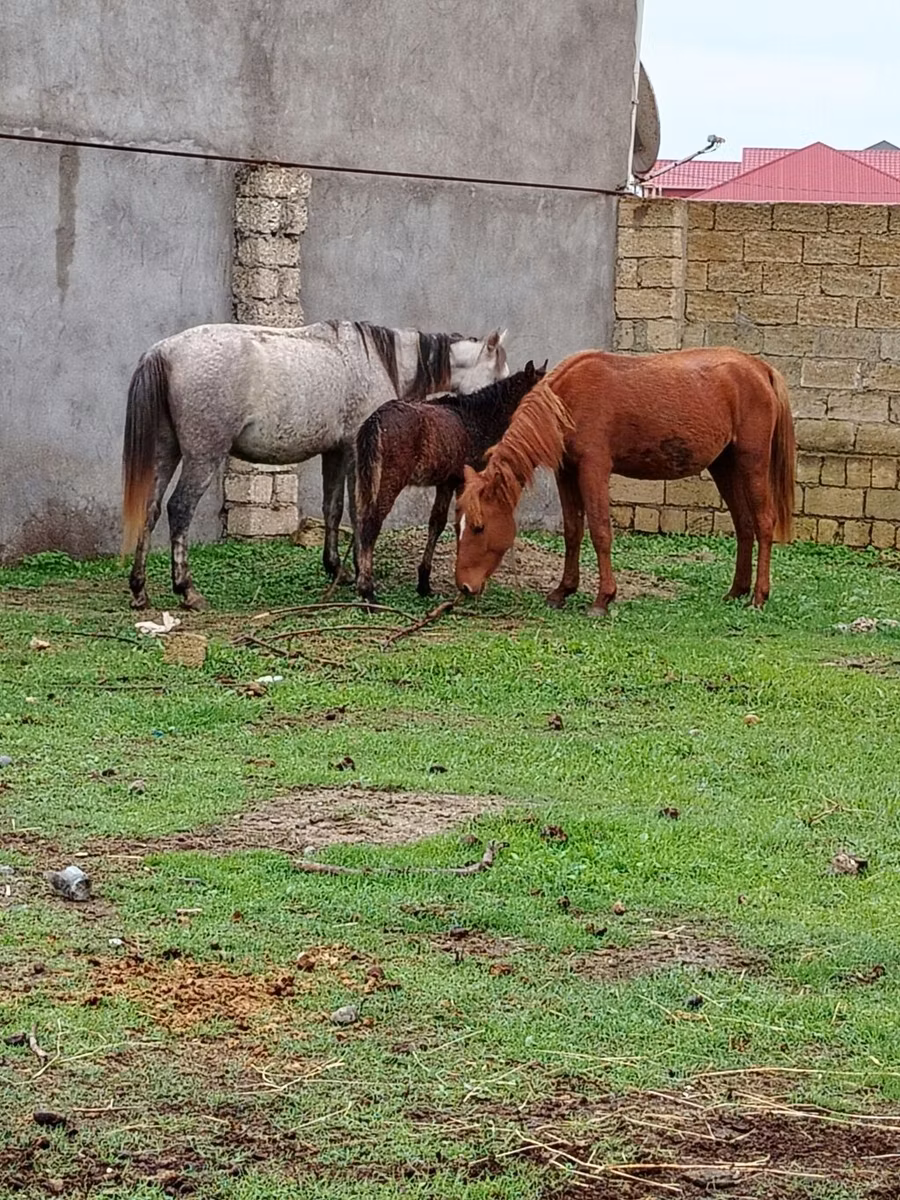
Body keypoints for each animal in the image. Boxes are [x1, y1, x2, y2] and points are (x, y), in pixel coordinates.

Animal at [122, 320, 508, 610]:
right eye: (498, 380)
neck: (378, 360)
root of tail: (164, 351)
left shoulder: (335, 453)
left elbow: (333, 509)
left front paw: (336, 568)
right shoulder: (356, 453)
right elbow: (357, 510)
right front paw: (360, 573)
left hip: (166, 452)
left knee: (151, 509)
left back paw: (140, 589)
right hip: (203, 456)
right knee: (179, 509)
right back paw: (186, 589)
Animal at [353, 359, 548, 601]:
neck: (478, 418)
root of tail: (374, 421)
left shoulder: (446, 483)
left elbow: (437, 523)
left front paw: (424, 583)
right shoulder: (464, 482)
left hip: (365, 479)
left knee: (360, 519)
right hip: (390, 480)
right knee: (371, 524)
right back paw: (366, 589)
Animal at [454, 347, 796, 614]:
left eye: (478, 527)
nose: (464, 586)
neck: (566, 401)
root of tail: (759, 369)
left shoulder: (593, 469)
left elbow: (600, 532)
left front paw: (603, 599)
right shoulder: (566, 472)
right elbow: (573, 531)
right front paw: (563, 591)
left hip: (752, 462)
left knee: (763, 523)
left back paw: (758, 596)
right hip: (724, 466)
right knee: (744, 526)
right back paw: (737, 591)